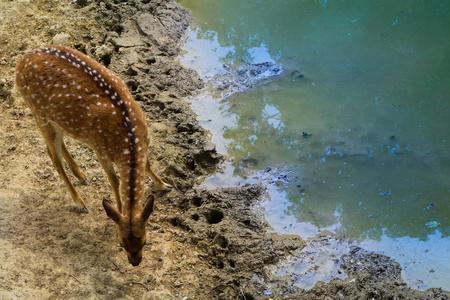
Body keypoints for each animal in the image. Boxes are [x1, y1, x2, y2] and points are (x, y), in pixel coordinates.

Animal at [16, 44, 171, 264]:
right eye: (122, 242)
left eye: (144, 240)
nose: (135, 262)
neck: (129, 141)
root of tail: (21, 62)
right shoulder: (100, 150)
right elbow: (115, 181)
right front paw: (120, 209)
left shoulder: (145, 141)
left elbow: (148, 165)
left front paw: (164, 185)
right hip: (39, 113)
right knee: (52, 156)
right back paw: (80, 203)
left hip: (55, 120)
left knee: (56, 146)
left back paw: (82, 175)